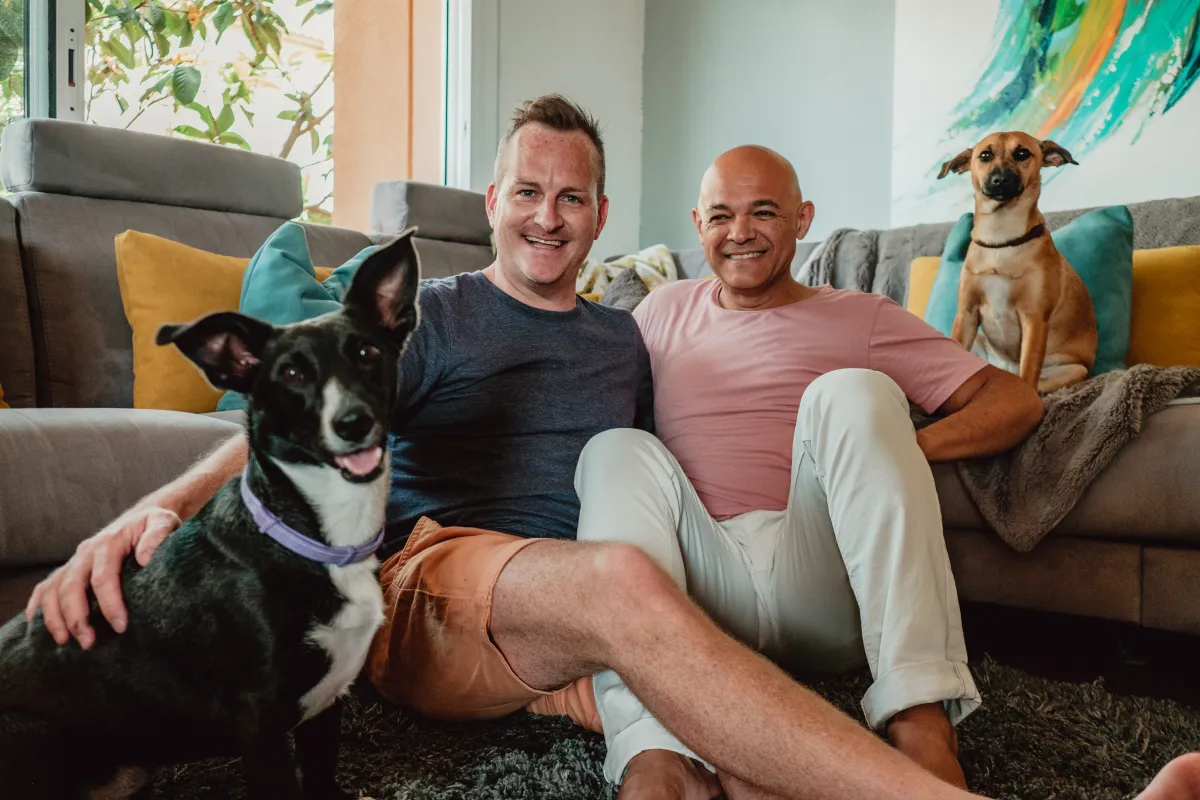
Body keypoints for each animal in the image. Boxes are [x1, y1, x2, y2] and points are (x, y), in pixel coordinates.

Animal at [0, 226, 422, 800]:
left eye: (366, 351)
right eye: (291, 373)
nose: (353, 423)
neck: (314, 534)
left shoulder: (326, 704)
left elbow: (322, 775)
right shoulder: (261, 723)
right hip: (38, 736)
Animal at [936, 131, 1099, 391]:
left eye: (1022, 153)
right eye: (985, 155)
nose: (1000, 180)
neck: (1001, 239)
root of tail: (1007, 370)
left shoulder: (1034, 319)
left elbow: (1029, 370)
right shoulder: (966, 314)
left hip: (1071, 369)